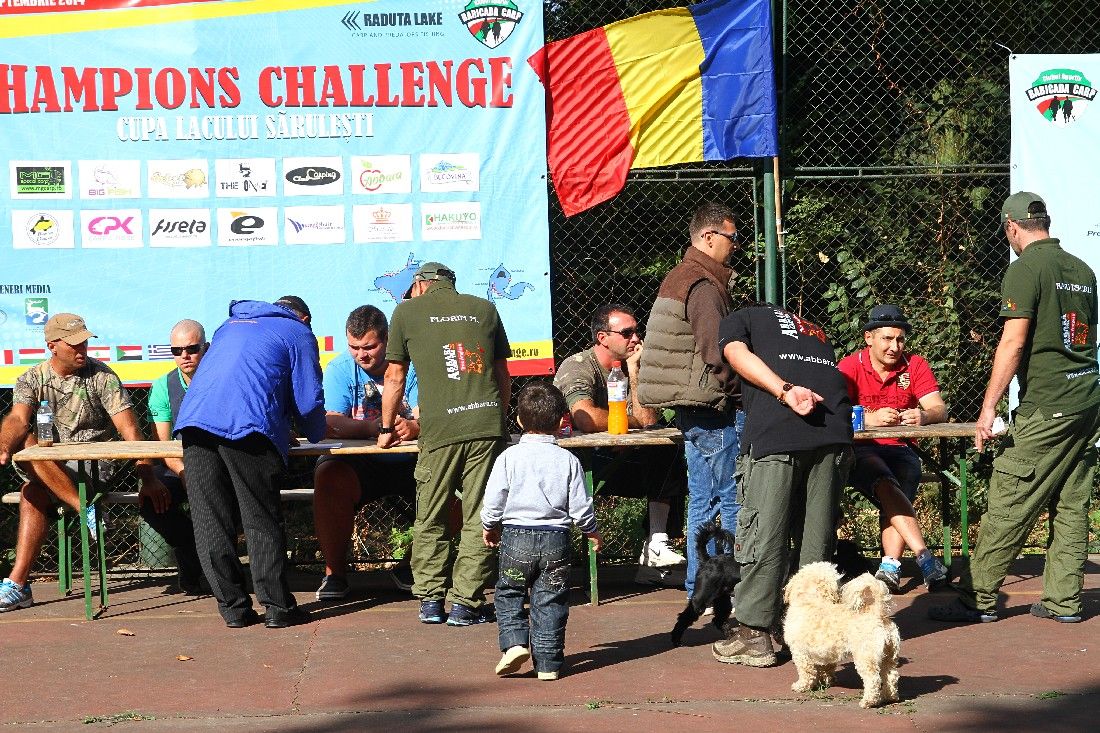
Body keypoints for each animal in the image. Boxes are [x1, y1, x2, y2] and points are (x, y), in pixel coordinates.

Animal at [782, 561, 901, 708]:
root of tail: (877, 613)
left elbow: (806, 672)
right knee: (891, 675)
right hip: (890, 655)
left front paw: (801, 686)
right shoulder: (826, 653)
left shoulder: (800, 652)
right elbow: (826, 668)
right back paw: (889, 697)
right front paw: (827, 680)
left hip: (865, 656)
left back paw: (868, 701)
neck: (811, 600)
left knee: (873, 679)